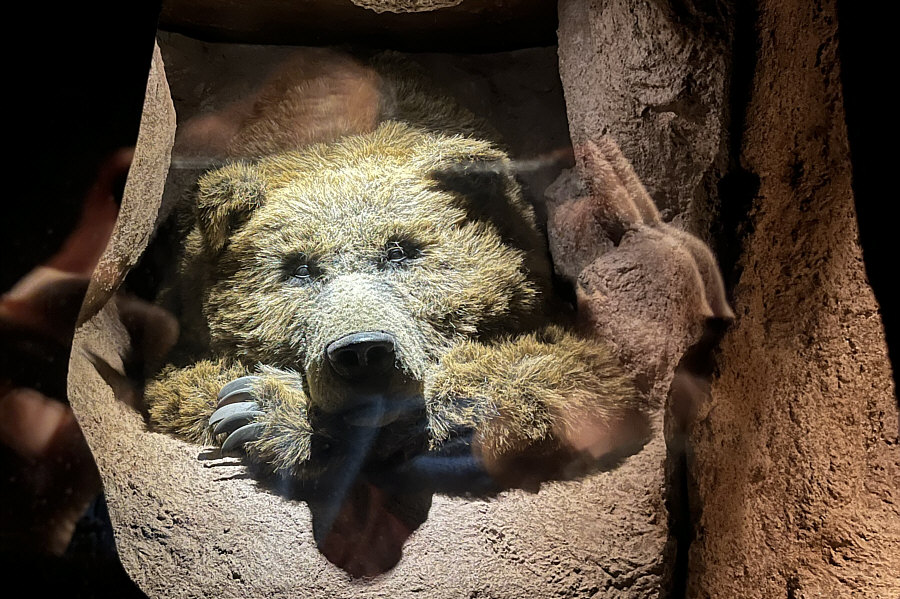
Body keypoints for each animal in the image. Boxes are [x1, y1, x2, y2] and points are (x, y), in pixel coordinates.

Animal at [144, 51, 650, 494]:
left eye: (401, 251)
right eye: (299, 268)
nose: (362, 351)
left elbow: (570, 376)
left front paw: (262, 408)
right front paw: (253, 408)